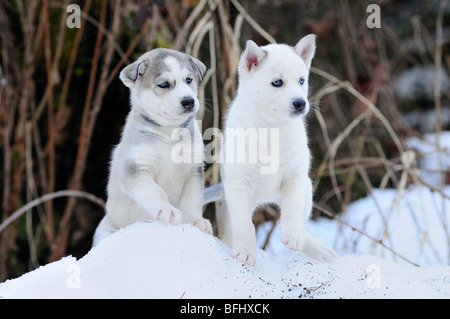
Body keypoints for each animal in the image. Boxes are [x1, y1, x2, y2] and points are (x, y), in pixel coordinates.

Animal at [93, 48, 213, 246]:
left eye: (189, 80)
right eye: (164, 84)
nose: (188, 101)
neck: (169, 135)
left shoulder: (193, 170)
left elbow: (192, 199)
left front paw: (196, 221)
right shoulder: (135, 169)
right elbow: (155, 191)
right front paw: (166, 210)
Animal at [204, 33, 338, 266]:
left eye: (301, 80)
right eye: (277, 83)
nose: (300, 103)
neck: (271, 129)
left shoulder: (294, 176)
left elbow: (292, 209)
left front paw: (292, 236)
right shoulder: (239, 185)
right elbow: (245, 225)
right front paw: (245, 252)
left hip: (307, 188)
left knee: (301, 221)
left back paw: (316, 248)